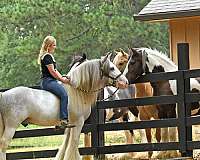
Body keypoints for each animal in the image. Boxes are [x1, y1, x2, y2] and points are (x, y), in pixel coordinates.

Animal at [0, 55, 128, 159]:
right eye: (112, 68)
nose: (125, 82)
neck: (77, 91)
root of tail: (4, 95)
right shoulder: (78, 123)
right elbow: (74, 143)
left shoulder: (71, 125)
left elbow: (68, 144)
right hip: (11, 126)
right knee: (3, 144)